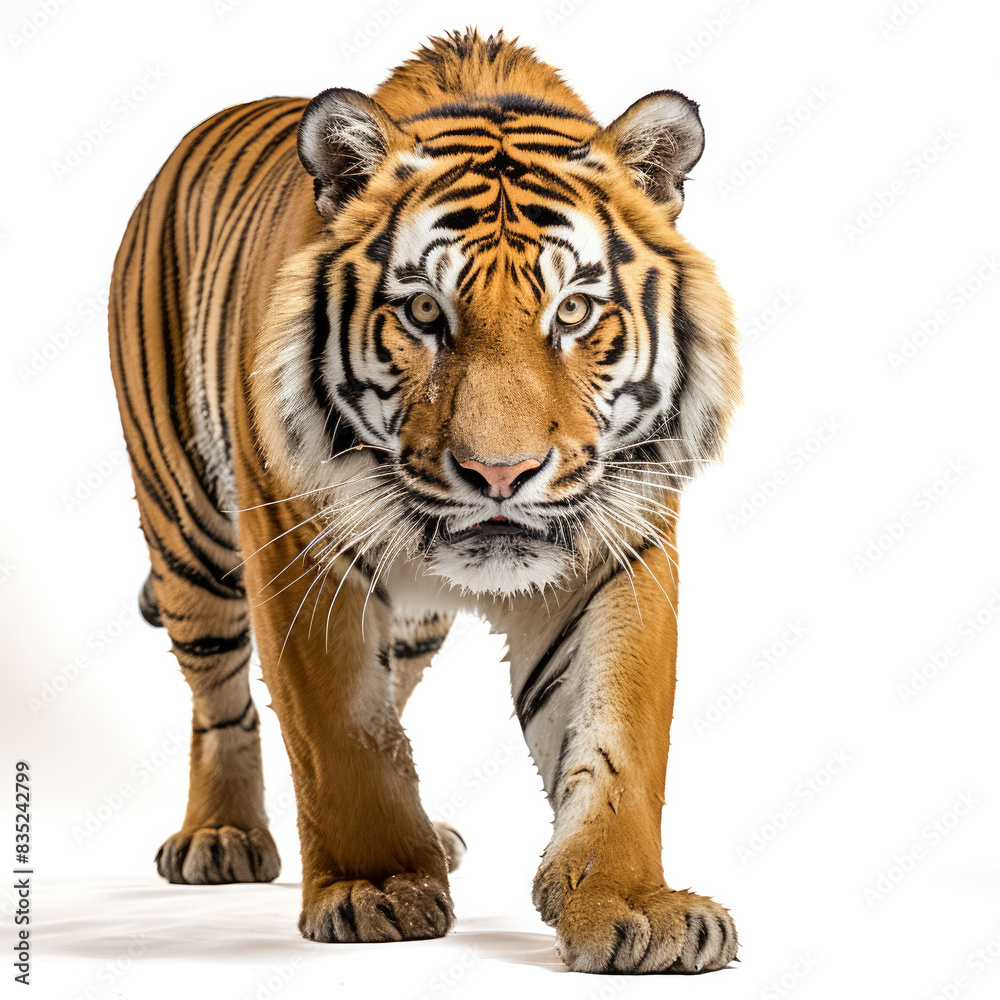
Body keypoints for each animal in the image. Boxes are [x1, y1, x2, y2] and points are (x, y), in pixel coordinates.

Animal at [108, 28, 741, 973]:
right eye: (422, 312)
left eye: (574, 312)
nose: (501, 475)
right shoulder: (299, 551)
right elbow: (338, 732)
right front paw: (376, 887)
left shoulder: (619, 547)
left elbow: (618, 737)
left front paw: (636, 907)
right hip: (190, 533)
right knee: (219, 698)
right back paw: (220, 837)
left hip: (409, 618)